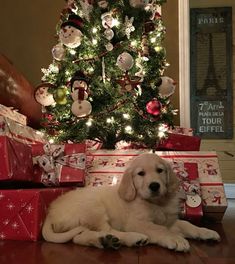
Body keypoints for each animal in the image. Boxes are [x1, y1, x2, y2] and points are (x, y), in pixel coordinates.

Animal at [42, 153, 220, 252]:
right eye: (141, 174)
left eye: (160, 170)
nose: (154, 186)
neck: (156, 203)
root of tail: (50, 212)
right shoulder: (137, 222)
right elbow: (160, 229)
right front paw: (176, 239)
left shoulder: (170, 221)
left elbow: (187, 225)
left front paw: (206, 232)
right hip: (93, 207)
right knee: (106, 230)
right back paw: (131, 238)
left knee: (79, 237)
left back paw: (104, 241)